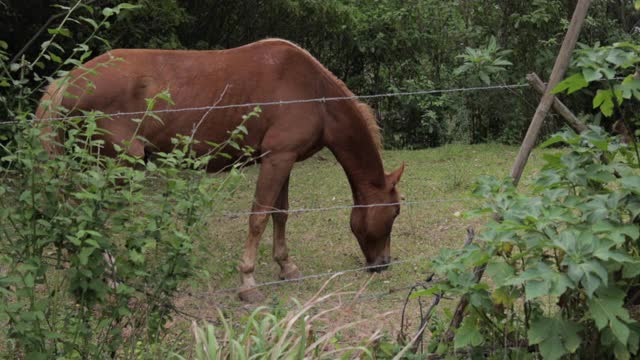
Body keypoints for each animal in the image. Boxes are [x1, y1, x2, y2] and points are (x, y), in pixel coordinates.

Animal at [36, 38, 404, 300]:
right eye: (395, 211)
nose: (383, 265)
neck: (314, 93)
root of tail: (69, 81)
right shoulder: (277, 159)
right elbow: (258, 218)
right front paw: (248, 282)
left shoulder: (281, 159)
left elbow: (280, 214)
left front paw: (286, 266)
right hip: (119, 165)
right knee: (93, 216)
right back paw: (110, 281)